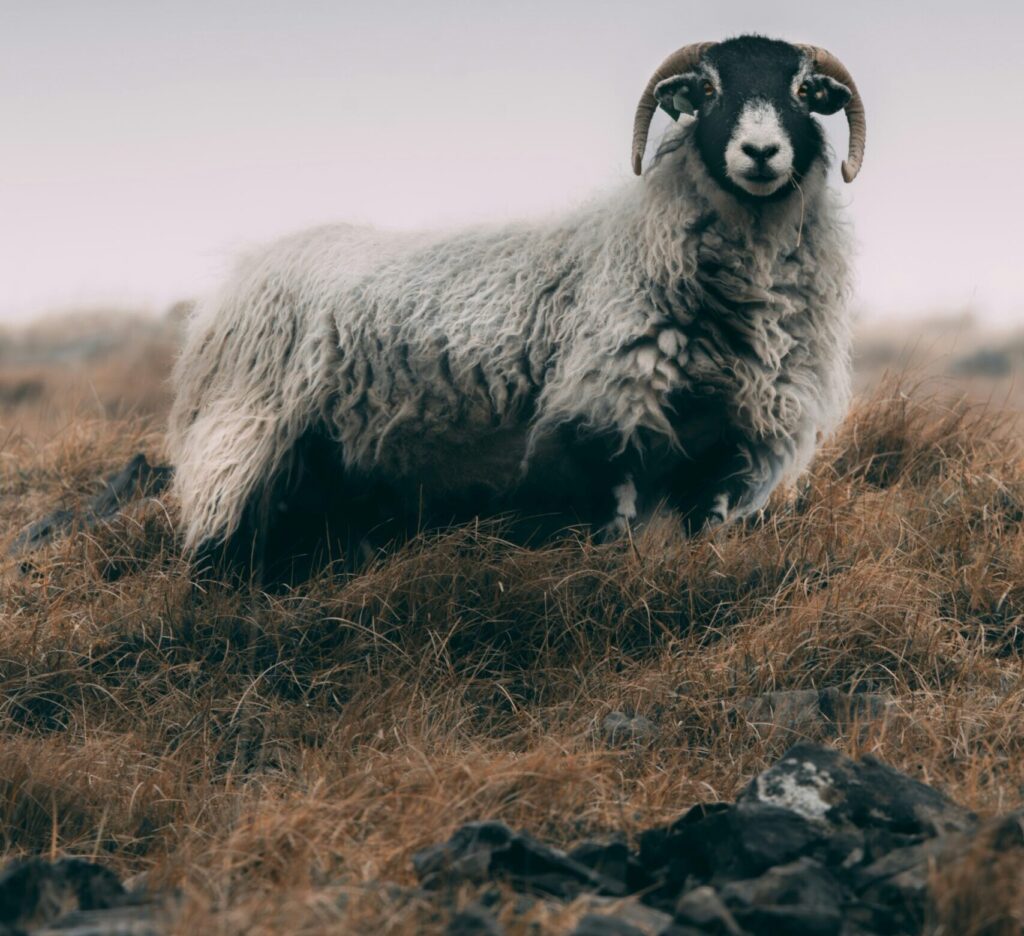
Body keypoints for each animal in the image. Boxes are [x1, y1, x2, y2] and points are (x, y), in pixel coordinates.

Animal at [168, 34, 866, 576]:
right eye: (708, 90)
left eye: (804, 92)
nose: (761, 153)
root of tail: (237, 281)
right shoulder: (608, 415)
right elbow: (616, 530)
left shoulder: (731, 440)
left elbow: (705, 534)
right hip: (243, 440)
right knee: (221, 542)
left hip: (327, 461)